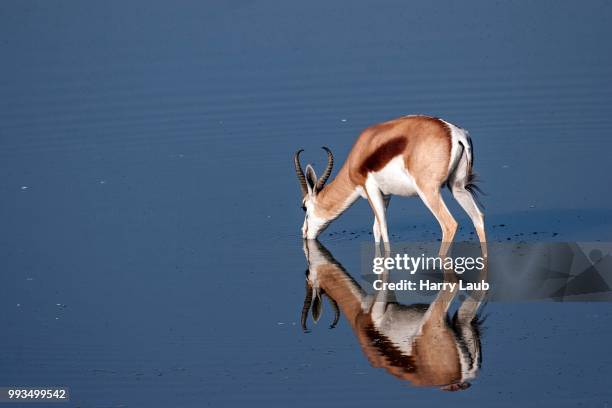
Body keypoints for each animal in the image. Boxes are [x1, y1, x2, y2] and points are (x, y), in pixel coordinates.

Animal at [294, 113, 486, 256]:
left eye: (304, 207)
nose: (304, 233)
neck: (358, 156)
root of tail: (456, 133)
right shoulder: (386, 194)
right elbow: (376, 229)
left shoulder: (370, 190)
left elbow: (383, 229)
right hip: (458, 188)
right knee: (478, 218)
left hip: (428, 191)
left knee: (449, 224)